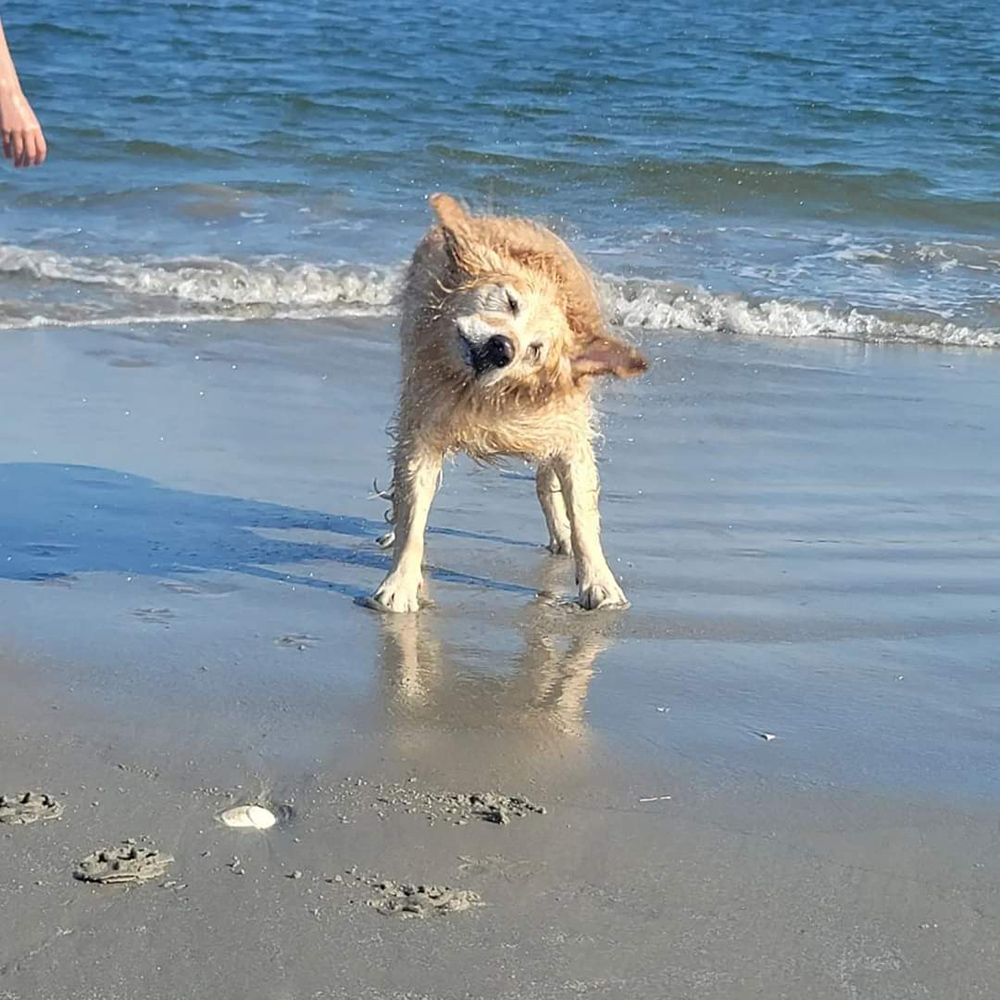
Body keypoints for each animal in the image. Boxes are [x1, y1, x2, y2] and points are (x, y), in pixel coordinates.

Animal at [370, 195, 648, 612]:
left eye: (536, 350)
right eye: (510, 301)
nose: (503, 347)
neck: (485, 394)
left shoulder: (567, 434)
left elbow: (583, 516)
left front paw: (600, 583)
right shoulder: (422, 431)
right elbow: (413, 511)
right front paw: (400, 583)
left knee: (546, 481)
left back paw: (561, 536)